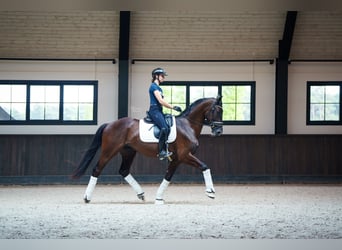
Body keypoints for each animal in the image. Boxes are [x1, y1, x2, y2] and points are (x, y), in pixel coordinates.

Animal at [71, 96, 223, 204]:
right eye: (216, 110)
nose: (219, 131)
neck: (188, 125)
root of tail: (110, 124)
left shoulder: (176, 159)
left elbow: (168, 176)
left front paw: (159, 198)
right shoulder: (184, 155)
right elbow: (204, 166)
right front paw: (210, 191)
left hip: (128, 152)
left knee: (124, 170)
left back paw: (141, 194)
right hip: (109, 151)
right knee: (97, 169)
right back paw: (87, 197)